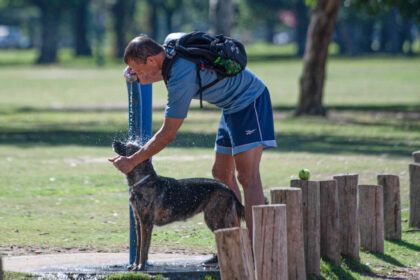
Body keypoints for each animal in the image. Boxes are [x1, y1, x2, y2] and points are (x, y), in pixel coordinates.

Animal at [111, 141, 244, 270]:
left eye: (128, 147)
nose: (114, 141)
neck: (143, 181)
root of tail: (228, 188)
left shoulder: (146, 223)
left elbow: (144, 247)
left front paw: (141, 267)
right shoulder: (139, 222)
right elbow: (139, 247)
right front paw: (135, 265)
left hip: (214, 219)